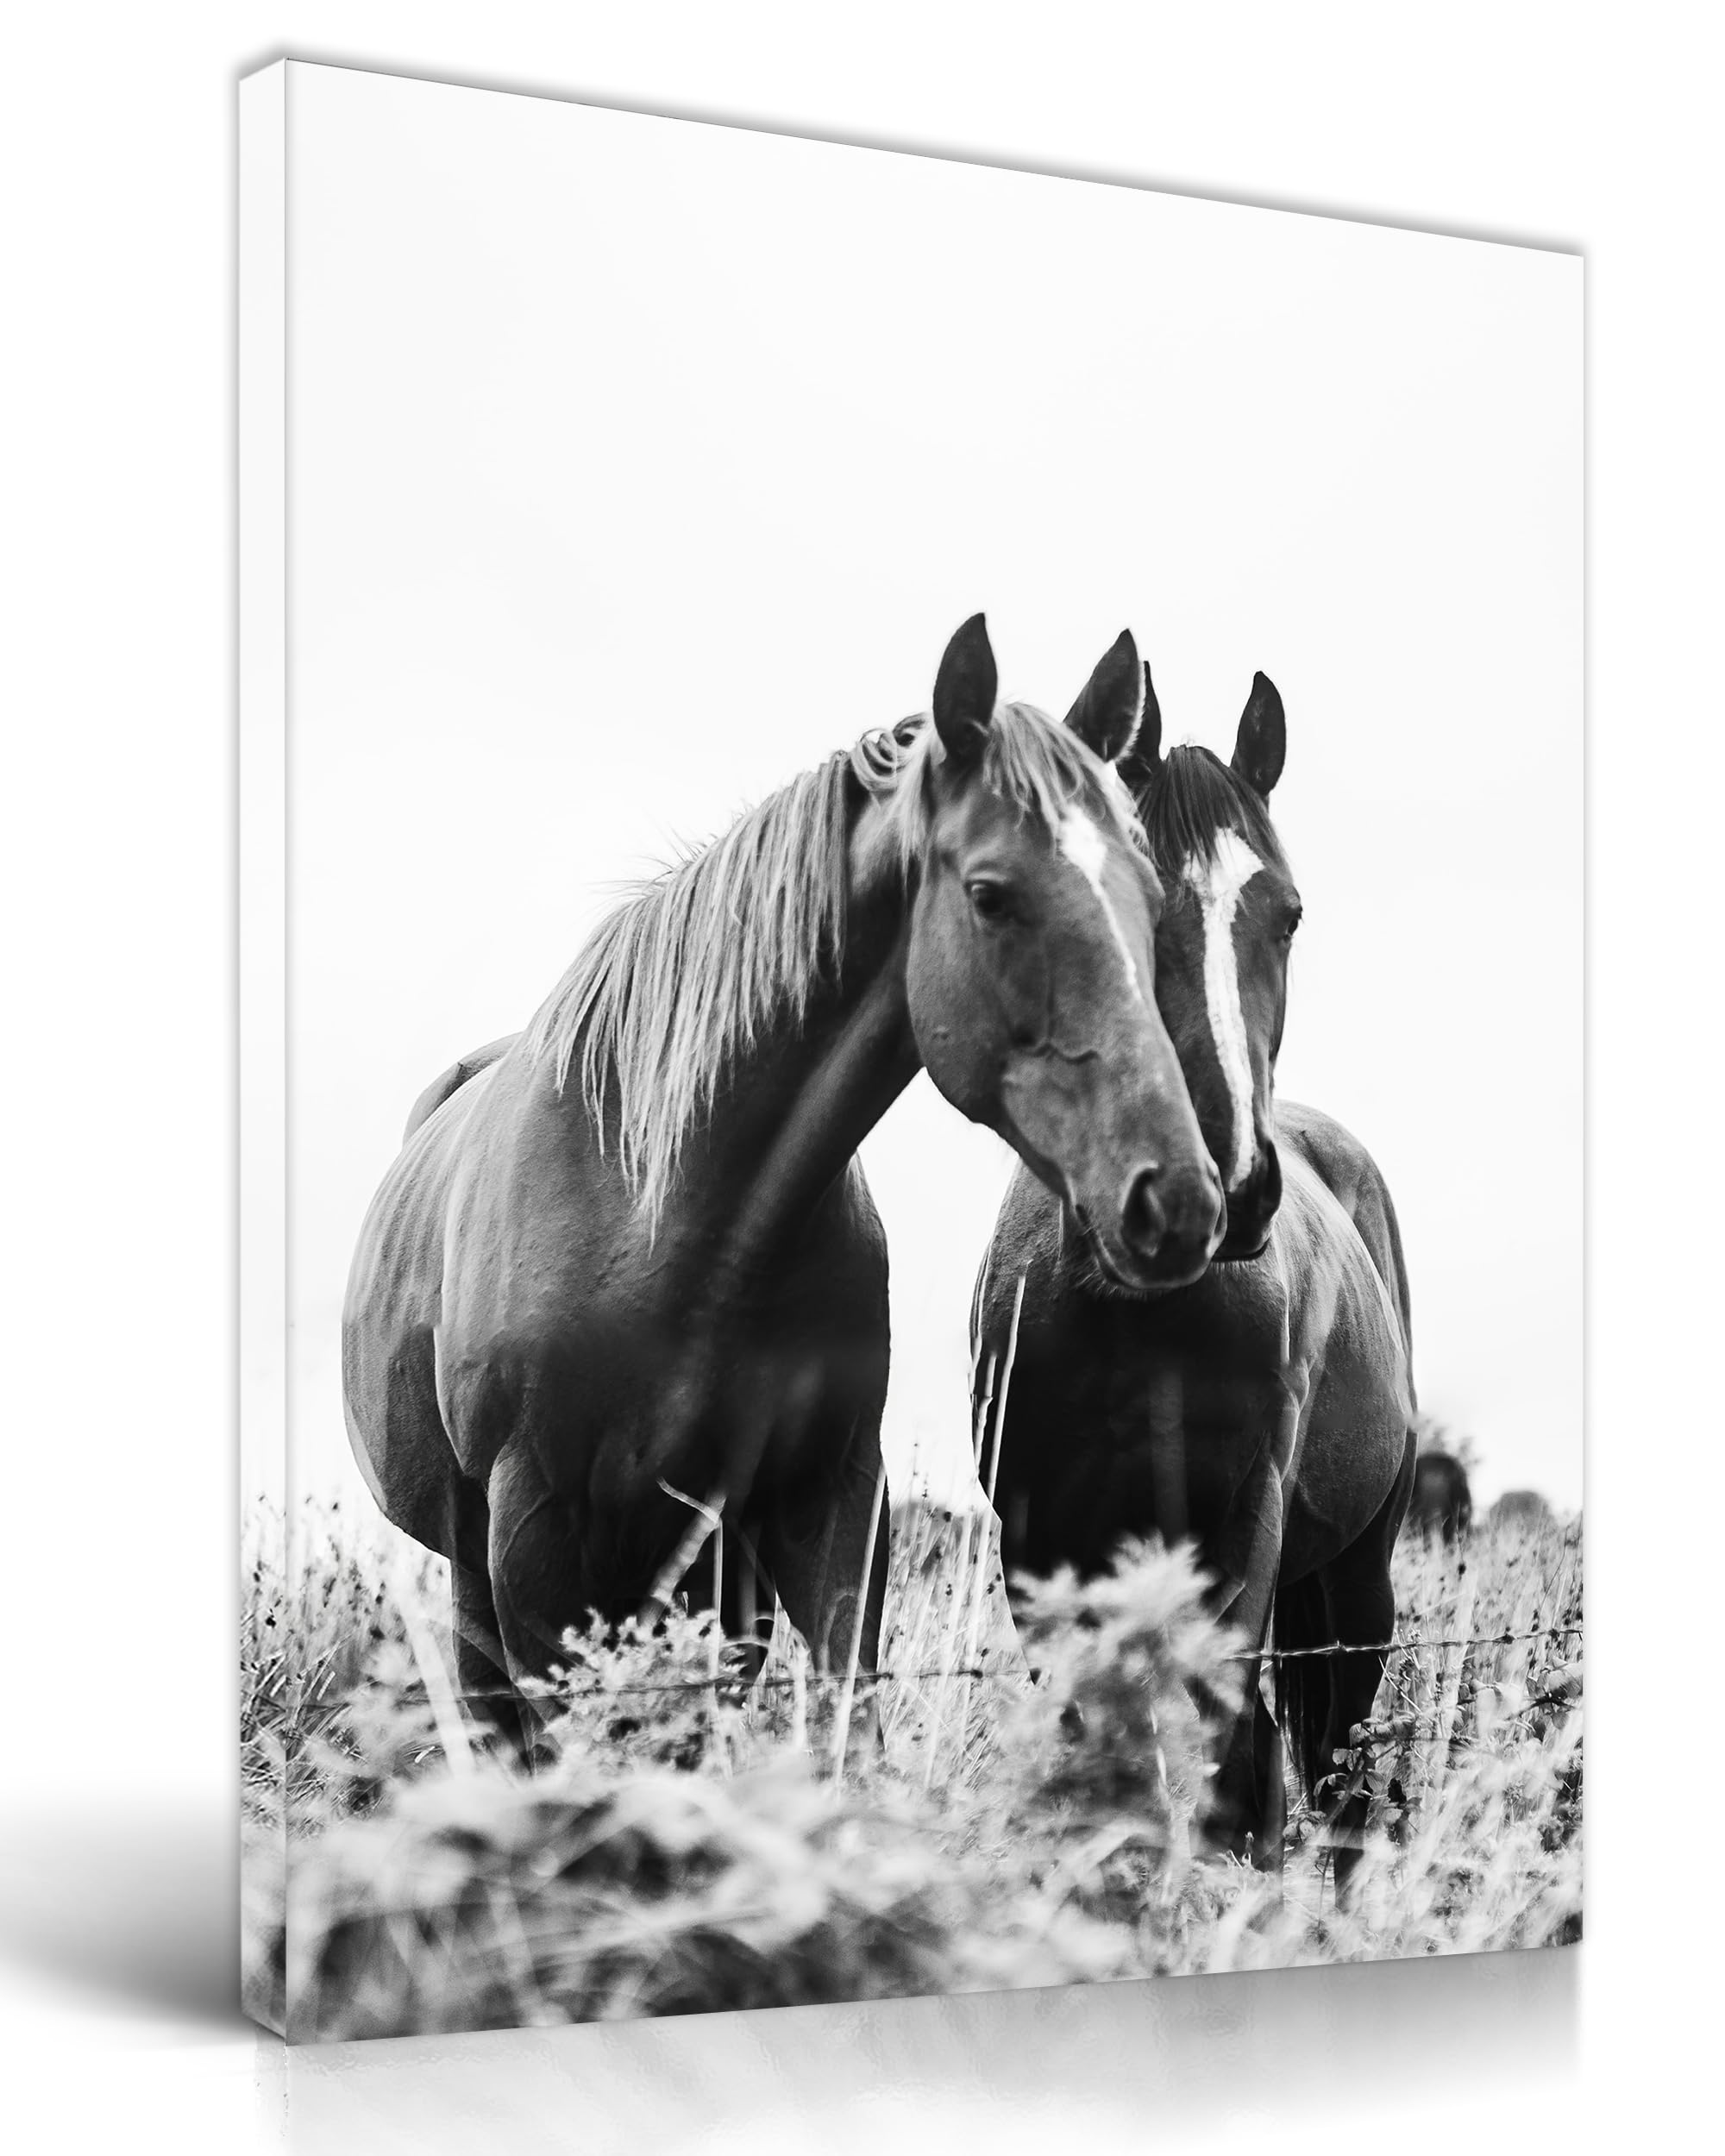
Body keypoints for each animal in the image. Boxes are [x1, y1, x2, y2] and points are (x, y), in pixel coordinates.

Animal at [343, 615, 1226, 1739]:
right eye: (988, 894)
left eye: (1147, 896)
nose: (1177, 1199)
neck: (669, 1216)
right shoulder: (531, 1539)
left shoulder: (826, 1504)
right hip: (486, 1575)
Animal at [974, 664, 1417, 1885]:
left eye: (1289, 912)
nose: (1226, 1182)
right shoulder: (1039, 1544)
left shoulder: (1242, 1525)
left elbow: (1229, 1769)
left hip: (1354, 1576)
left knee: (1333, 1768)